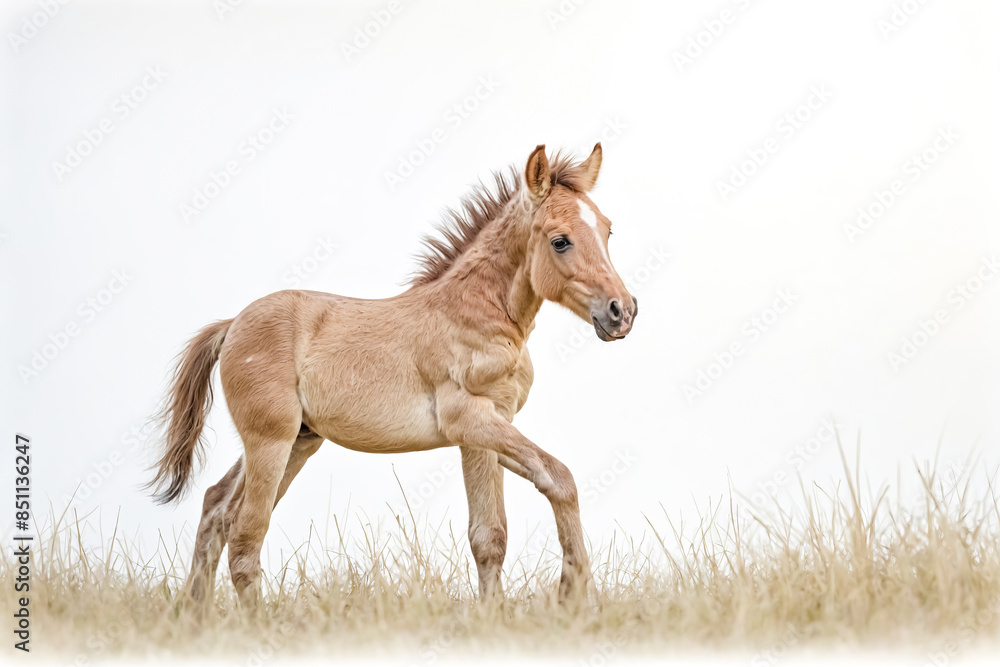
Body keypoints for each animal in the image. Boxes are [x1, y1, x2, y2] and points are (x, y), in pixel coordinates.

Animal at [149, 143, 638, 607]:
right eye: (560, 241)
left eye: (608, 229)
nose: (622, 312)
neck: (476, 313)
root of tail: (231, 324)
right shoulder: (469, 419)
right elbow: (558, 478)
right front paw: (572, 594)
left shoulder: (487, 429)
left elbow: (491, 534)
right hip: (270, 439)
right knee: (246, 534)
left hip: (298, 441)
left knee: (216, 508)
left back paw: (194, 616)